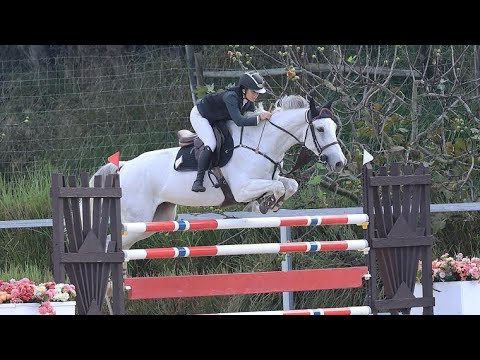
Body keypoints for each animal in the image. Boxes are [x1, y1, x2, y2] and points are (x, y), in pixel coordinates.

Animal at [91, 94, 344, 249]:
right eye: (320, 129)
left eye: (334, 127)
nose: (339, 163)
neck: (260, 144)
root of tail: (124, 166)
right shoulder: (242, 189)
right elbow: (279, 186)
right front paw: (265, 203)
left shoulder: (266, 179)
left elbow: (290, 184)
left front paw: (270, 204)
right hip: (136, 219)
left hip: (156, 219)